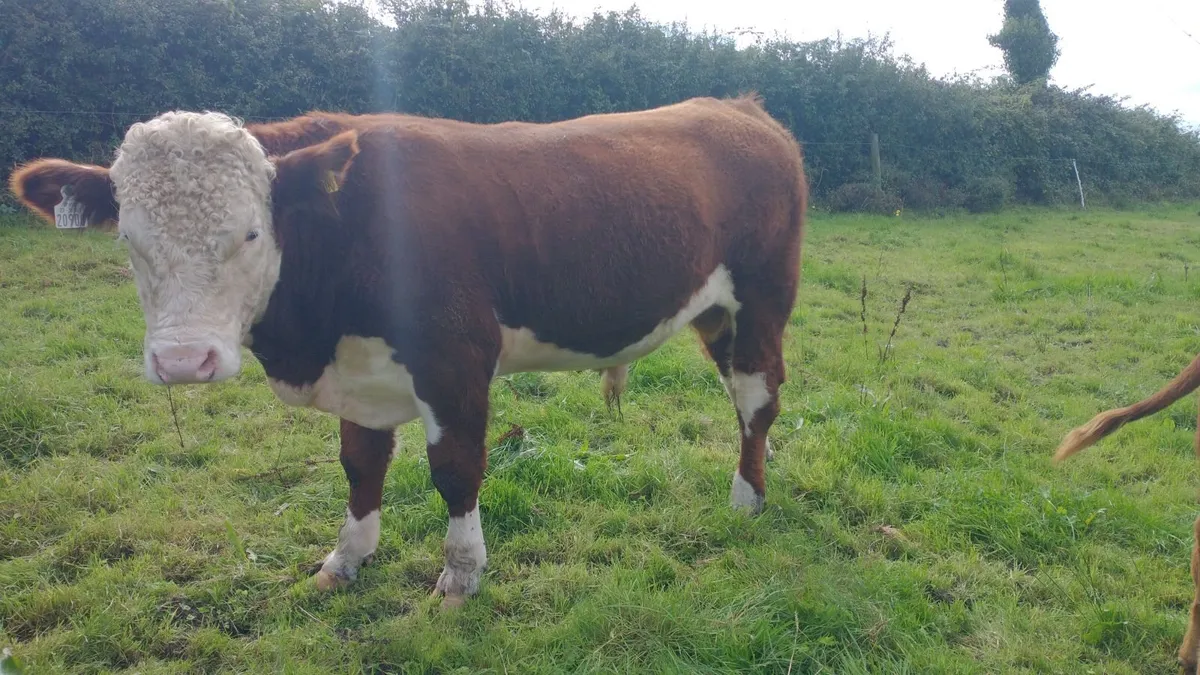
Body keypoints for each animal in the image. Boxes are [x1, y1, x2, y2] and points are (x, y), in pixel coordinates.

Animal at [8, 94, 808, 607]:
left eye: (252, 232)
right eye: (128, 237)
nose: (183, 362)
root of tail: (738, 107)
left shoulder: (455, 361)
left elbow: (455, 471)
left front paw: (460, 579)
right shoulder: (361, 372)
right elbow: (360, 465)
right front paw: (345, 560)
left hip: (763, 298)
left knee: (757, 399)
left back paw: (747, 498)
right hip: (714, 314)